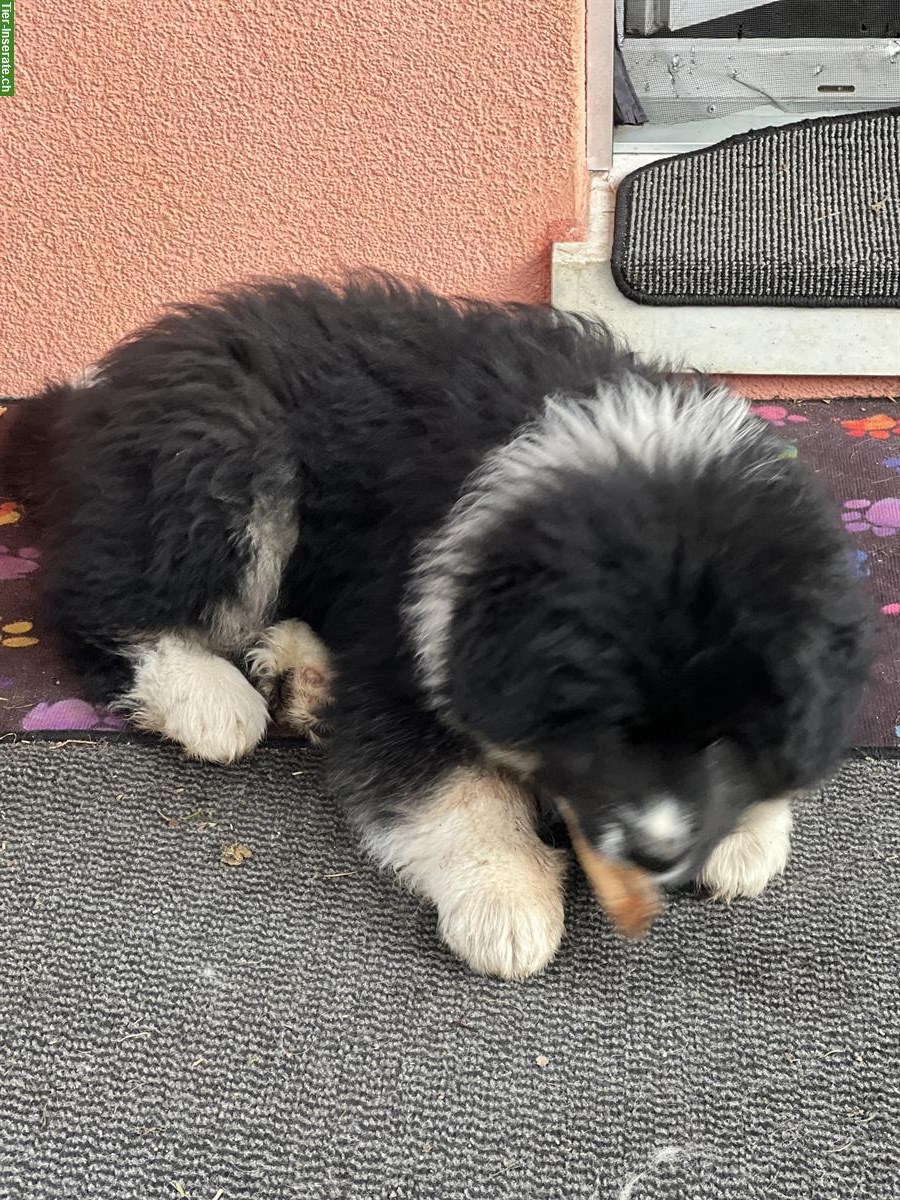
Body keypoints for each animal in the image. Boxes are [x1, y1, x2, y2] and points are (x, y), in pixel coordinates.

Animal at [8, 276, 873, 979]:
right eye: (610, 731)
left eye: (729, 737)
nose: (659, 852)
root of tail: (87, 401)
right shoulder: (406, 636)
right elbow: (453, 787)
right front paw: (507, 900)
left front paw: (749, 830)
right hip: (223, 454)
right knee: (97, 604)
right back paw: (212, 700)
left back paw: (301, 673)